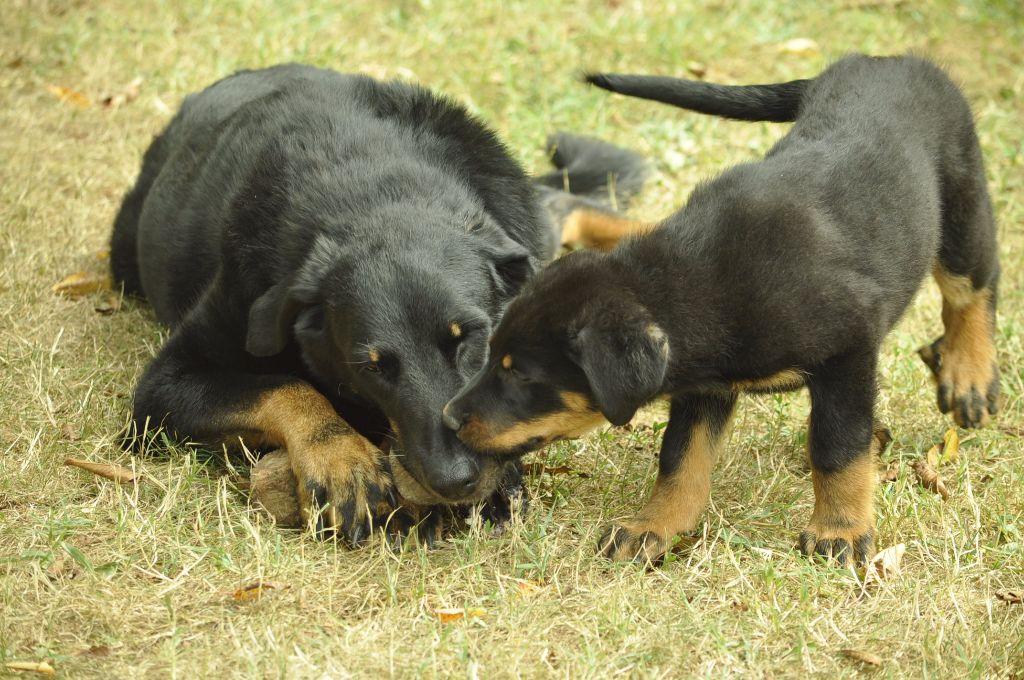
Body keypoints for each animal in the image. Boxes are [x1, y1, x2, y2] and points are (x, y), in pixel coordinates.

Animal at [108, 63, 643, 540]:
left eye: (470, 340)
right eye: (373, 367)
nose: (455, 480)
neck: (376, 193)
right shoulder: (166, 384)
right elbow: (286, 387)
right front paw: (342, 460)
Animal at [446, 55, 999, 569]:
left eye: (521, 375)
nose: (450, 418)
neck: (700, 282)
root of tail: (885, 60)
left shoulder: (849, 352)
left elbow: (837, 446)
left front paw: (838, 531)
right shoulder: (703, 387)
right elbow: (680, 458)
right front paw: (653, 526)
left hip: (962, 206)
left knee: (973, 288)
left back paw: (968, 374)